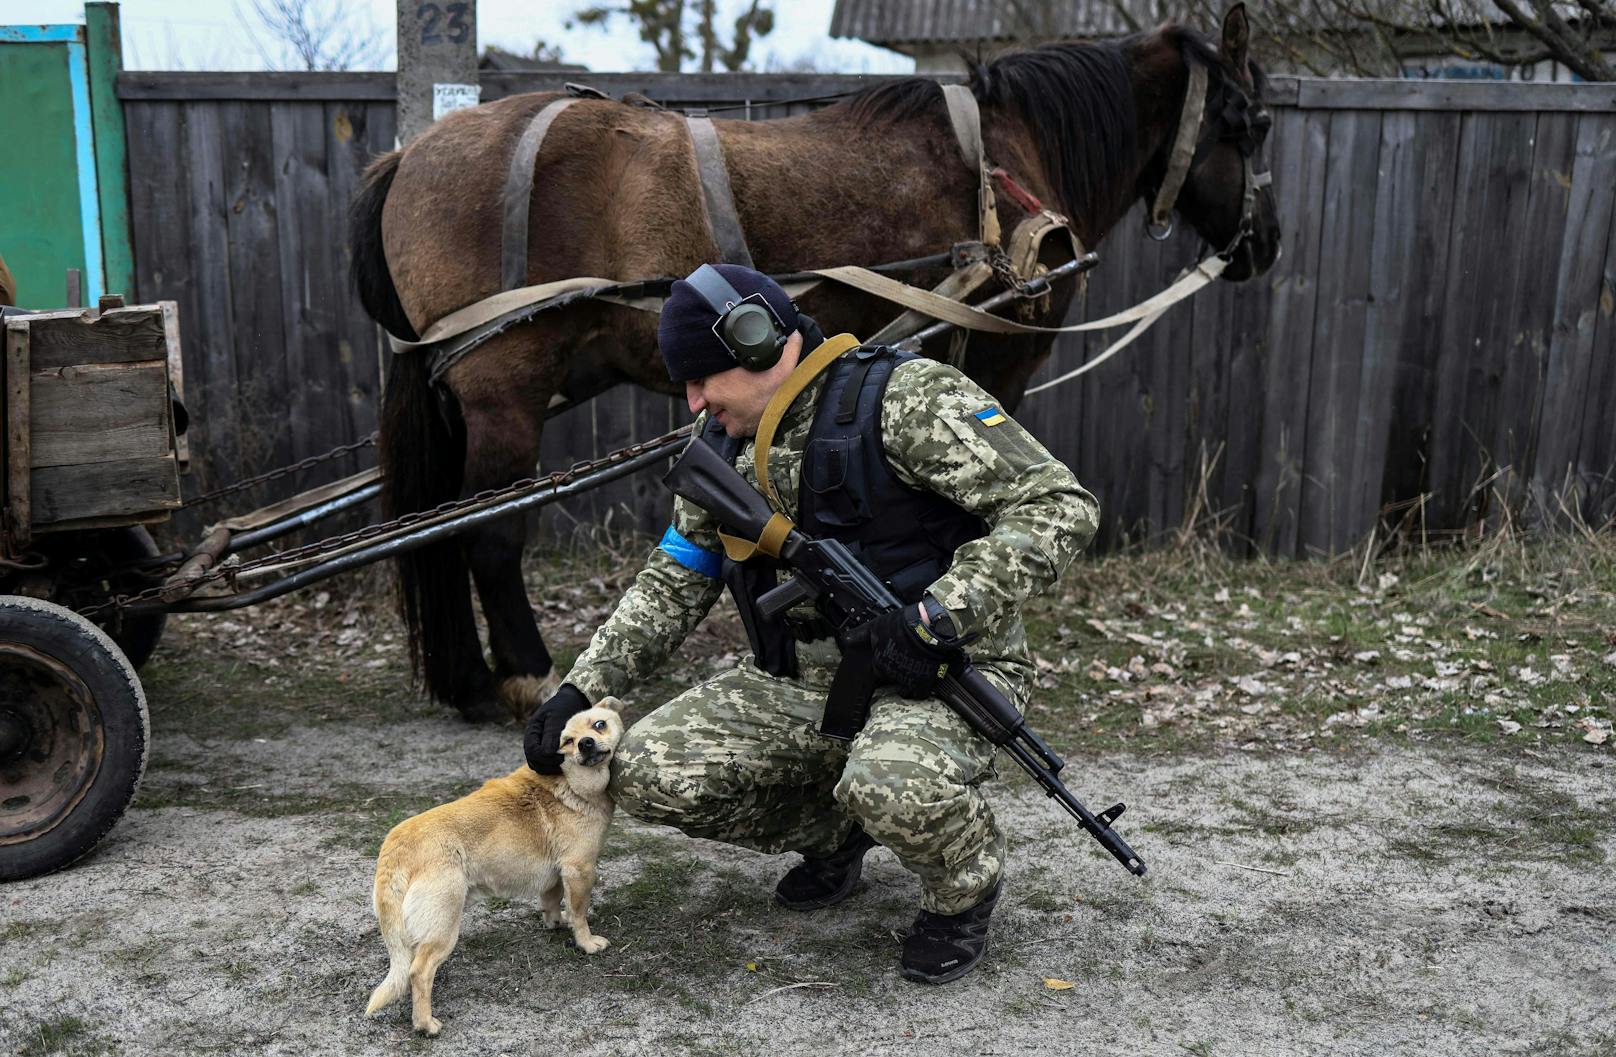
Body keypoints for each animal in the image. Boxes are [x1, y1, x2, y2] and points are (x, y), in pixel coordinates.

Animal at [347, 6, 1279, 720]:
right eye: (1256, 122)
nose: (1264, 245)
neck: (1008, 162)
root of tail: (411, 155)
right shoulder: (995, 361)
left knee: (439, 526)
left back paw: (469, 681)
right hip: (503, 390)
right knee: (486, 535)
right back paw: (527, 676)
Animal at [363, 701, 620, 1040]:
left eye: (599, 724)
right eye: (567, 741)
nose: (586, 744)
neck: (567, 782)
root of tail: (397, 846)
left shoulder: (555, 874)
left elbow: (552, 904)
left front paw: (556, 923)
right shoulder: (579, 870)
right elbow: (579, 915)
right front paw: (587, 943)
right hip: (444, 926)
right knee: (419, 972)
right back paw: (425, 1024)